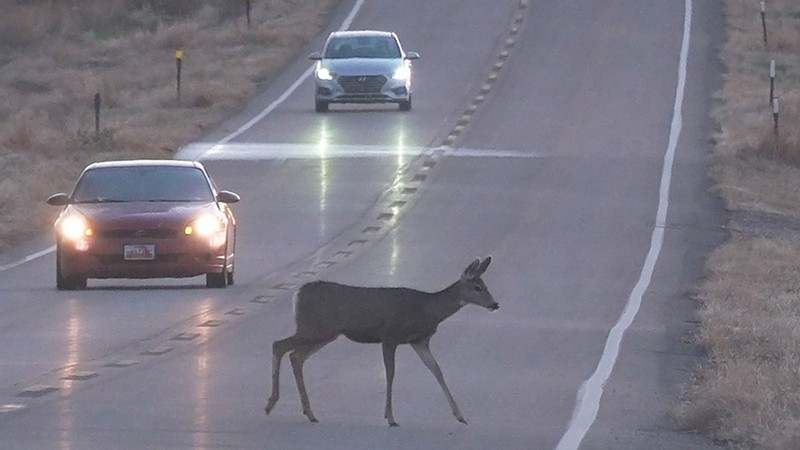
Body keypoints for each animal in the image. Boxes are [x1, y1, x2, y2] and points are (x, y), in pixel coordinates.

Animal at [264, 256, 498, 427]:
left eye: (485, 285)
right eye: (476, 287)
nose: (495, 304)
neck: (427, 310)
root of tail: (297, 294)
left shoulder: (419, 342)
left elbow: (437, 371)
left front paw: (460, 415)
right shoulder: (389, 335)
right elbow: (391, 372)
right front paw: (391, 417)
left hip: (324, 333)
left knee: (296, 356)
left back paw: (309, 413)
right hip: (313, 329)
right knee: (279, 345)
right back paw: (270, 404)